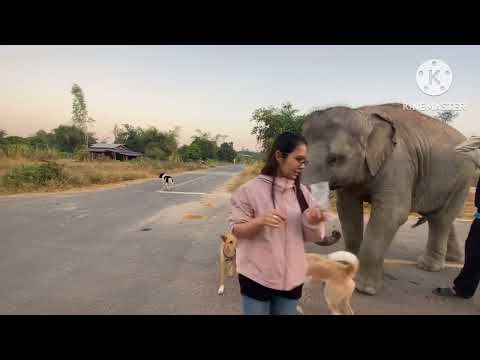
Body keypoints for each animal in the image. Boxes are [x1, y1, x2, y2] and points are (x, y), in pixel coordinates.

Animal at [300, 103, 476, 296]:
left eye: (334, 159)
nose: (334, 232)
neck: (364, 115)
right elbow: (347, 210)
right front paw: (344, 274)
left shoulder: (397, 163)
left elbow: (392, 213)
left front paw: (365, 289)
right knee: (441, 217)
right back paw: (452, 258)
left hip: (463, 178)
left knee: (441, 219)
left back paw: (428, 266)